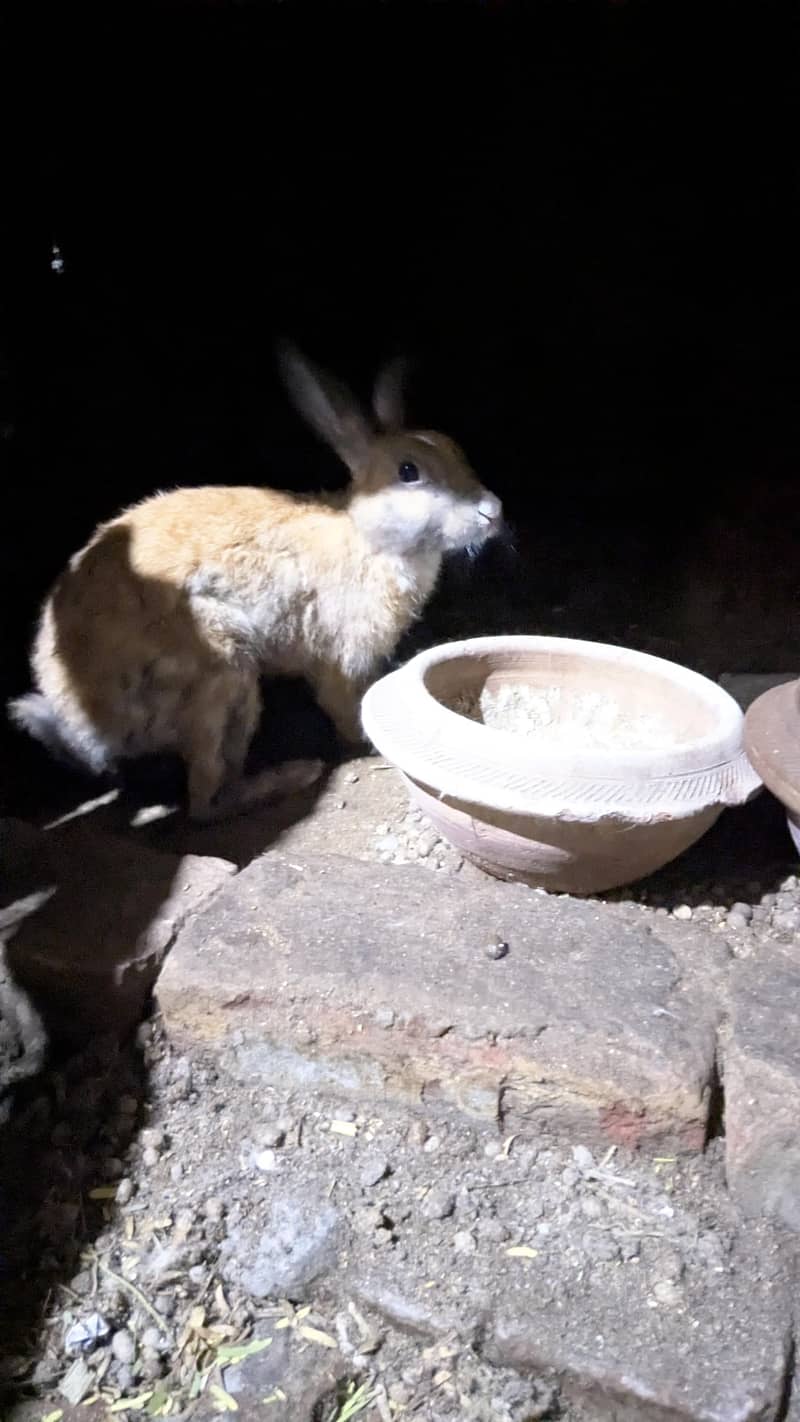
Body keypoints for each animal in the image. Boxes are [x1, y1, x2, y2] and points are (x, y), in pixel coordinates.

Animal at [8, 345, 503, 822]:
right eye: (408, 472)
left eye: (453, 448)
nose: (492, 512)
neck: (365, 535)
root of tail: (85, 723)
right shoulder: (340, 658)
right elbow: (345, 707)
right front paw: (363, 740)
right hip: (222, 674)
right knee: (204, 807)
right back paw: (293, 775)